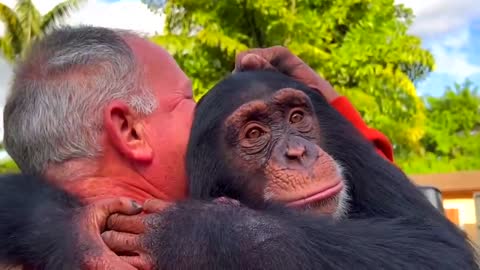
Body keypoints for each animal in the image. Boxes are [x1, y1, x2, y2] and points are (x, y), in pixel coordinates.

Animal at [0, 70, 478, 270]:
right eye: (254, 133)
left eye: (297, 117)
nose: (297, 152)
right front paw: (73, 231)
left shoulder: (339, 135)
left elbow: (435, 247)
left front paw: (196, 235)